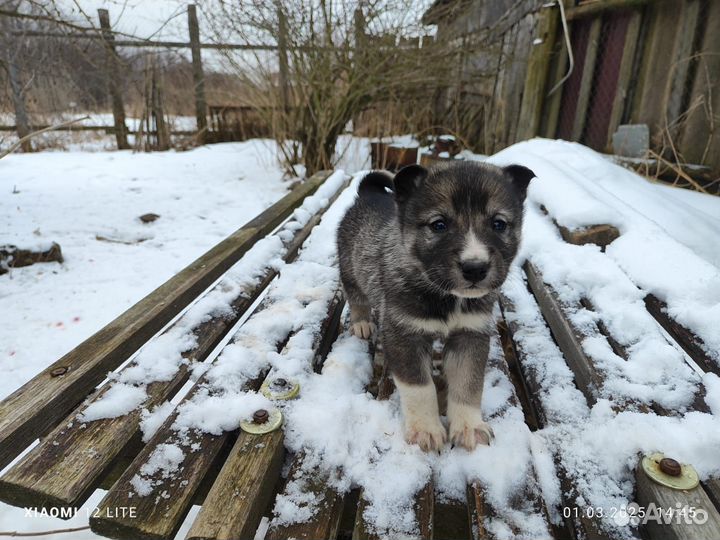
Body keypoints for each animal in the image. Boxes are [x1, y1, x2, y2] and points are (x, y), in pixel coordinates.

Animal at [338, 161, 536, 452]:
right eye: (439, 225)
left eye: (498, 223)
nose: (475, 268)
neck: (446, 297)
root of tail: (368, 194)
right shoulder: (405, 334)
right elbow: (420, 388)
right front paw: (426, 430)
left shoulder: (470, 334)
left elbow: (468, 383)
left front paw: (469, 426)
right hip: (350, 269)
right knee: (356, 297)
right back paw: (362, 322)